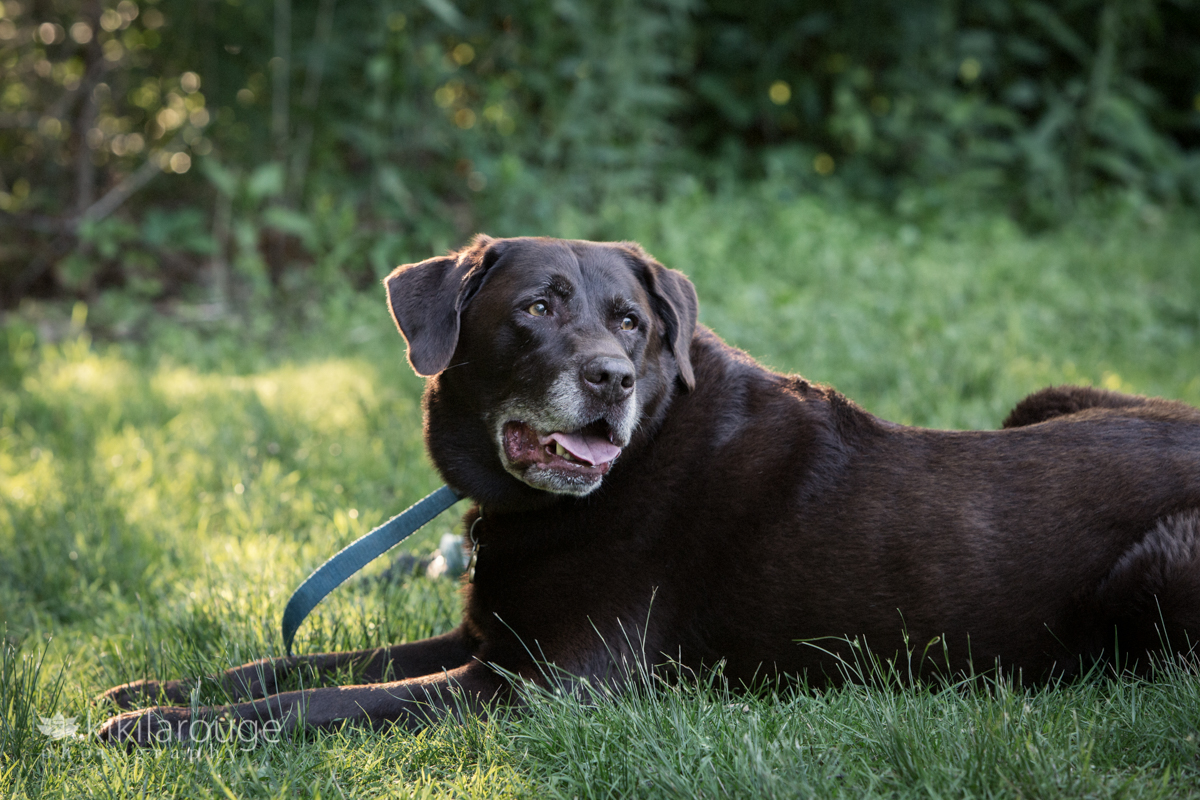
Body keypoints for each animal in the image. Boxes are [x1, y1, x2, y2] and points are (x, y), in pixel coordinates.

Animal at [98, 236, 1200, 743]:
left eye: (631, 322)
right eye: (537, 308)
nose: (610, 380)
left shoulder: (539, 687)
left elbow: (324, 697)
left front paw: (156, 731)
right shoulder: (481, 637)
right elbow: (291, 663)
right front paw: (153, 691)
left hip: (1159, 570)